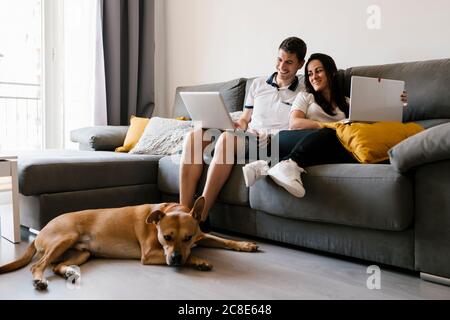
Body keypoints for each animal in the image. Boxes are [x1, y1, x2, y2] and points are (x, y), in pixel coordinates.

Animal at [0, 196, 256, 292]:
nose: (175, 260)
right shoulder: (150, 254)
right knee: (39, 265)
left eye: (188, 238)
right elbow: (190, 256)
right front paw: (199, 260)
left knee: (55, 265)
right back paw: (39, 279)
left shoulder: (201, 236)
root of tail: (42, 229)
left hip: (82, 253)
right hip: (65, 238)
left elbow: (223, 239)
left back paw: (69, 272)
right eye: (166, 237)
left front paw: (244, 244)